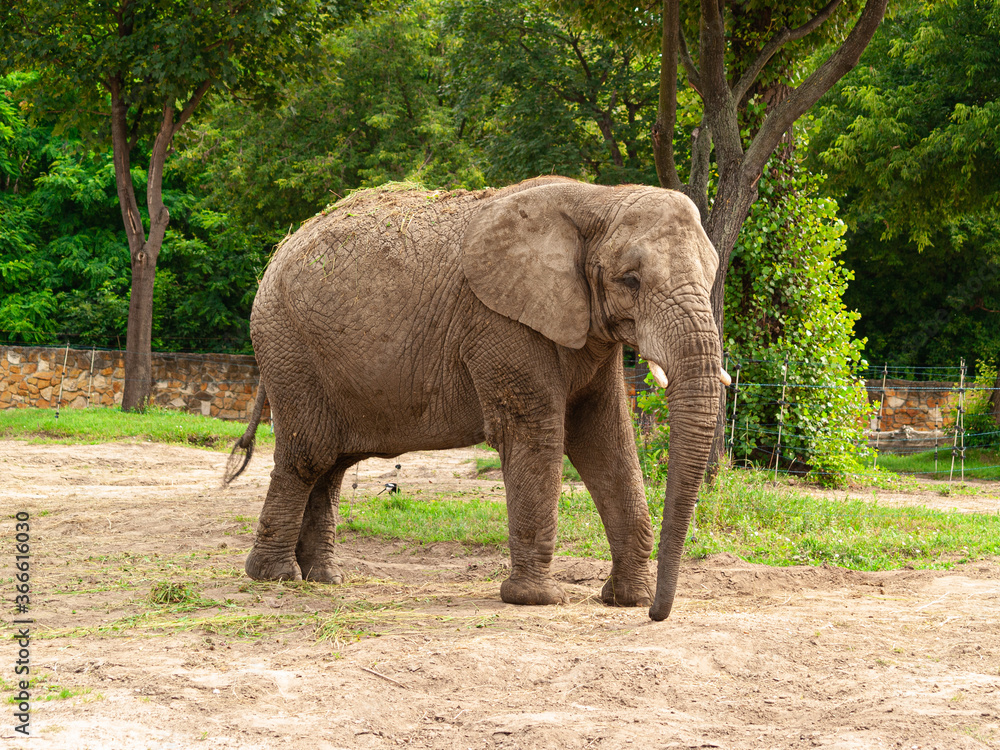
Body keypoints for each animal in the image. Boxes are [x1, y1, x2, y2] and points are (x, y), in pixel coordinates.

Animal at [224, 176, 729, 621]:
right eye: (630, 281)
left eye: (711, 277)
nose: (659, 614)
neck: (598, 199)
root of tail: (279, 251)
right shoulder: (500, 321)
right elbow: (536, 433)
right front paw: (537, 601)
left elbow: (605, 441)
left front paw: (628, 600)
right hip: (287, 345)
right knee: (309, 455)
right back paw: (276, 577)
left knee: (332, 465)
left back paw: (325, 578)